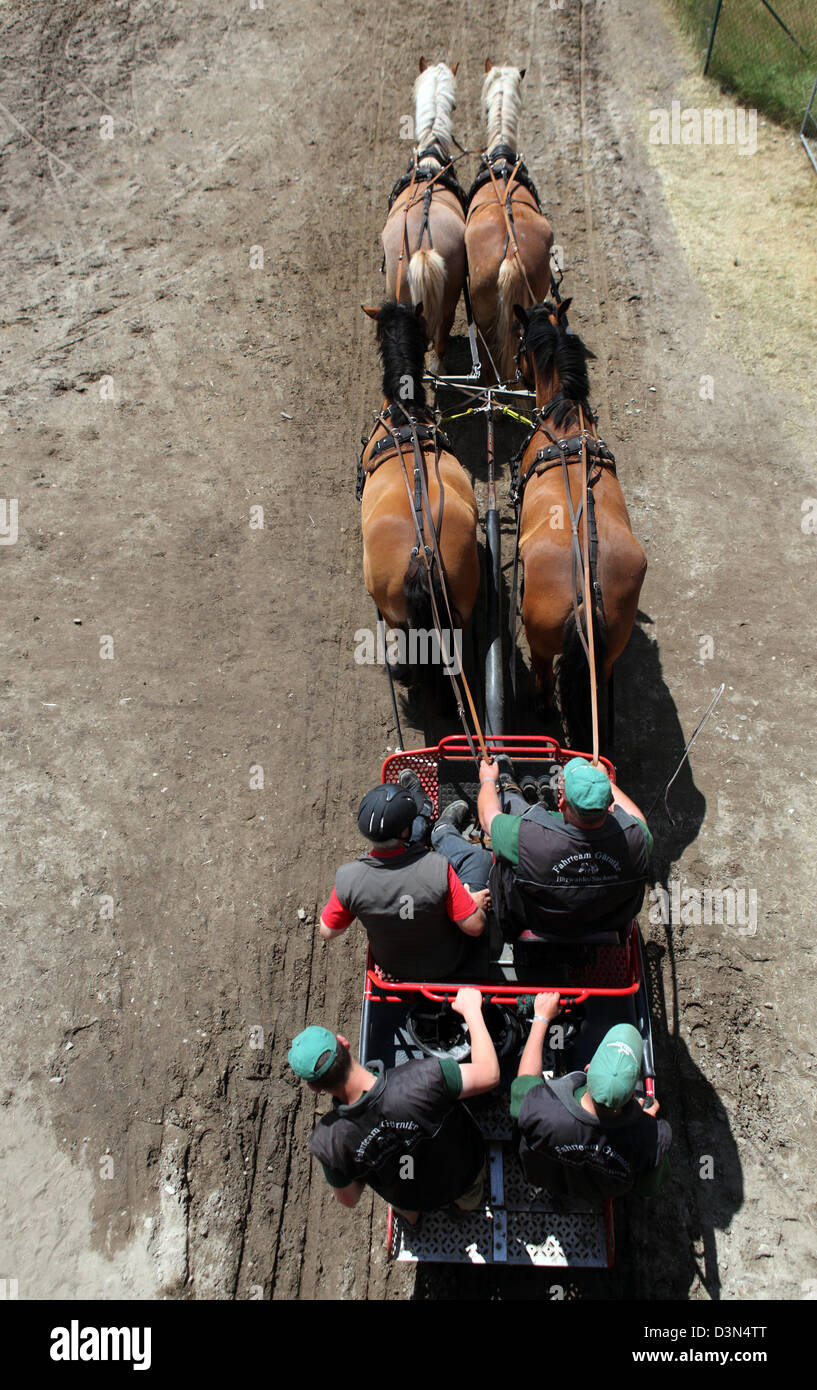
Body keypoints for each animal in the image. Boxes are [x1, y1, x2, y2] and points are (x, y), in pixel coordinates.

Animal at [514, 293, 647, 750]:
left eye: (519, 339)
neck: (566, 421)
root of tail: (585, 594)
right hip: (605, 657)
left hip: (539, 642)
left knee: (539, 673)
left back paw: (539, 704)